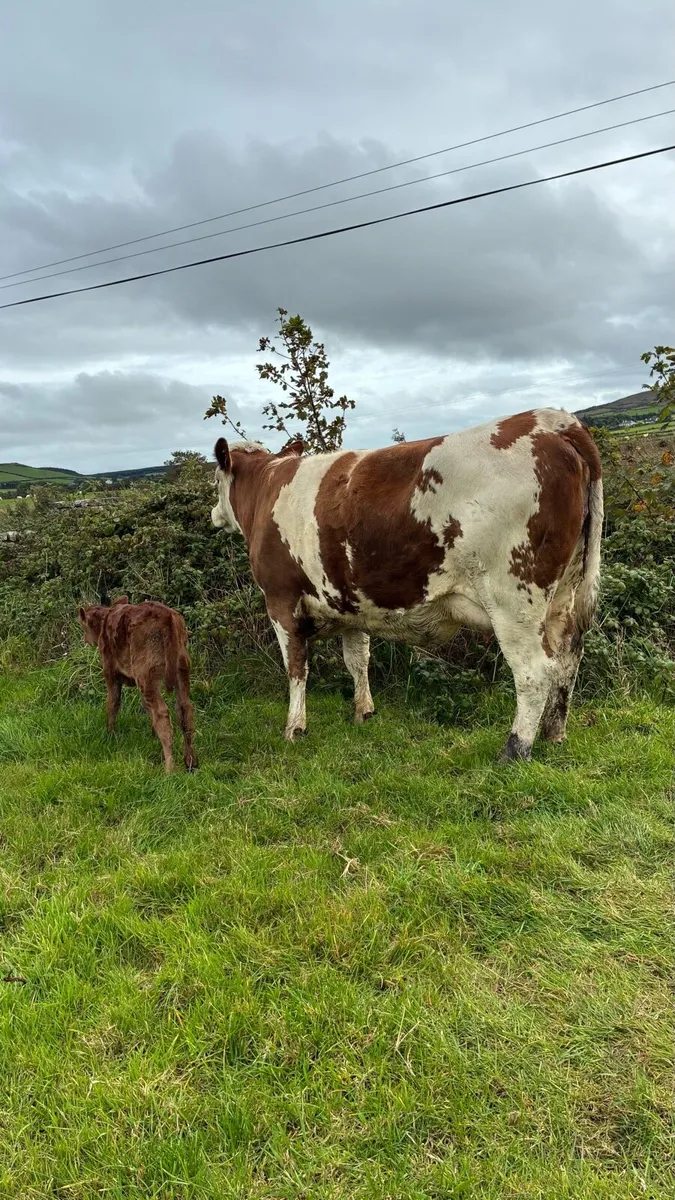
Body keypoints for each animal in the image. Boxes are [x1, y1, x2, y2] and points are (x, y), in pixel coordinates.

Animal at [78, 596, 197, 773]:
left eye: (84, 626)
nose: (85, 640)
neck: (106, 617)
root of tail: (168, 617)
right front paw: (153, 738)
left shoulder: (110, 672)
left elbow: (113, 703)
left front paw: (110, 735)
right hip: (181, 669)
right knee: (184, 710)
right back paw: (190, 762)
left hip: (146, 674)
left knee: (162, 713)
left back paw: (169, 767)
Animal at [210, 408, 603, 762]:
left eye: (215, 481)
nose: (214, 515)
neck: (268, 490)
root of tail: (551, 420)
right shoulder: (349, 603)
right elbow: (358, 660)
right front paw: (364, 712)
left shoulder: (280, 600)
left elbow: (296, 666)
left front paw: (294, 728)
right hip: (565, 594)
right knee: (567, 661)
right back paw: (554, 734)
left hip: (513, 600)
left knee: (534, 671)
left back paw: (515, 749)